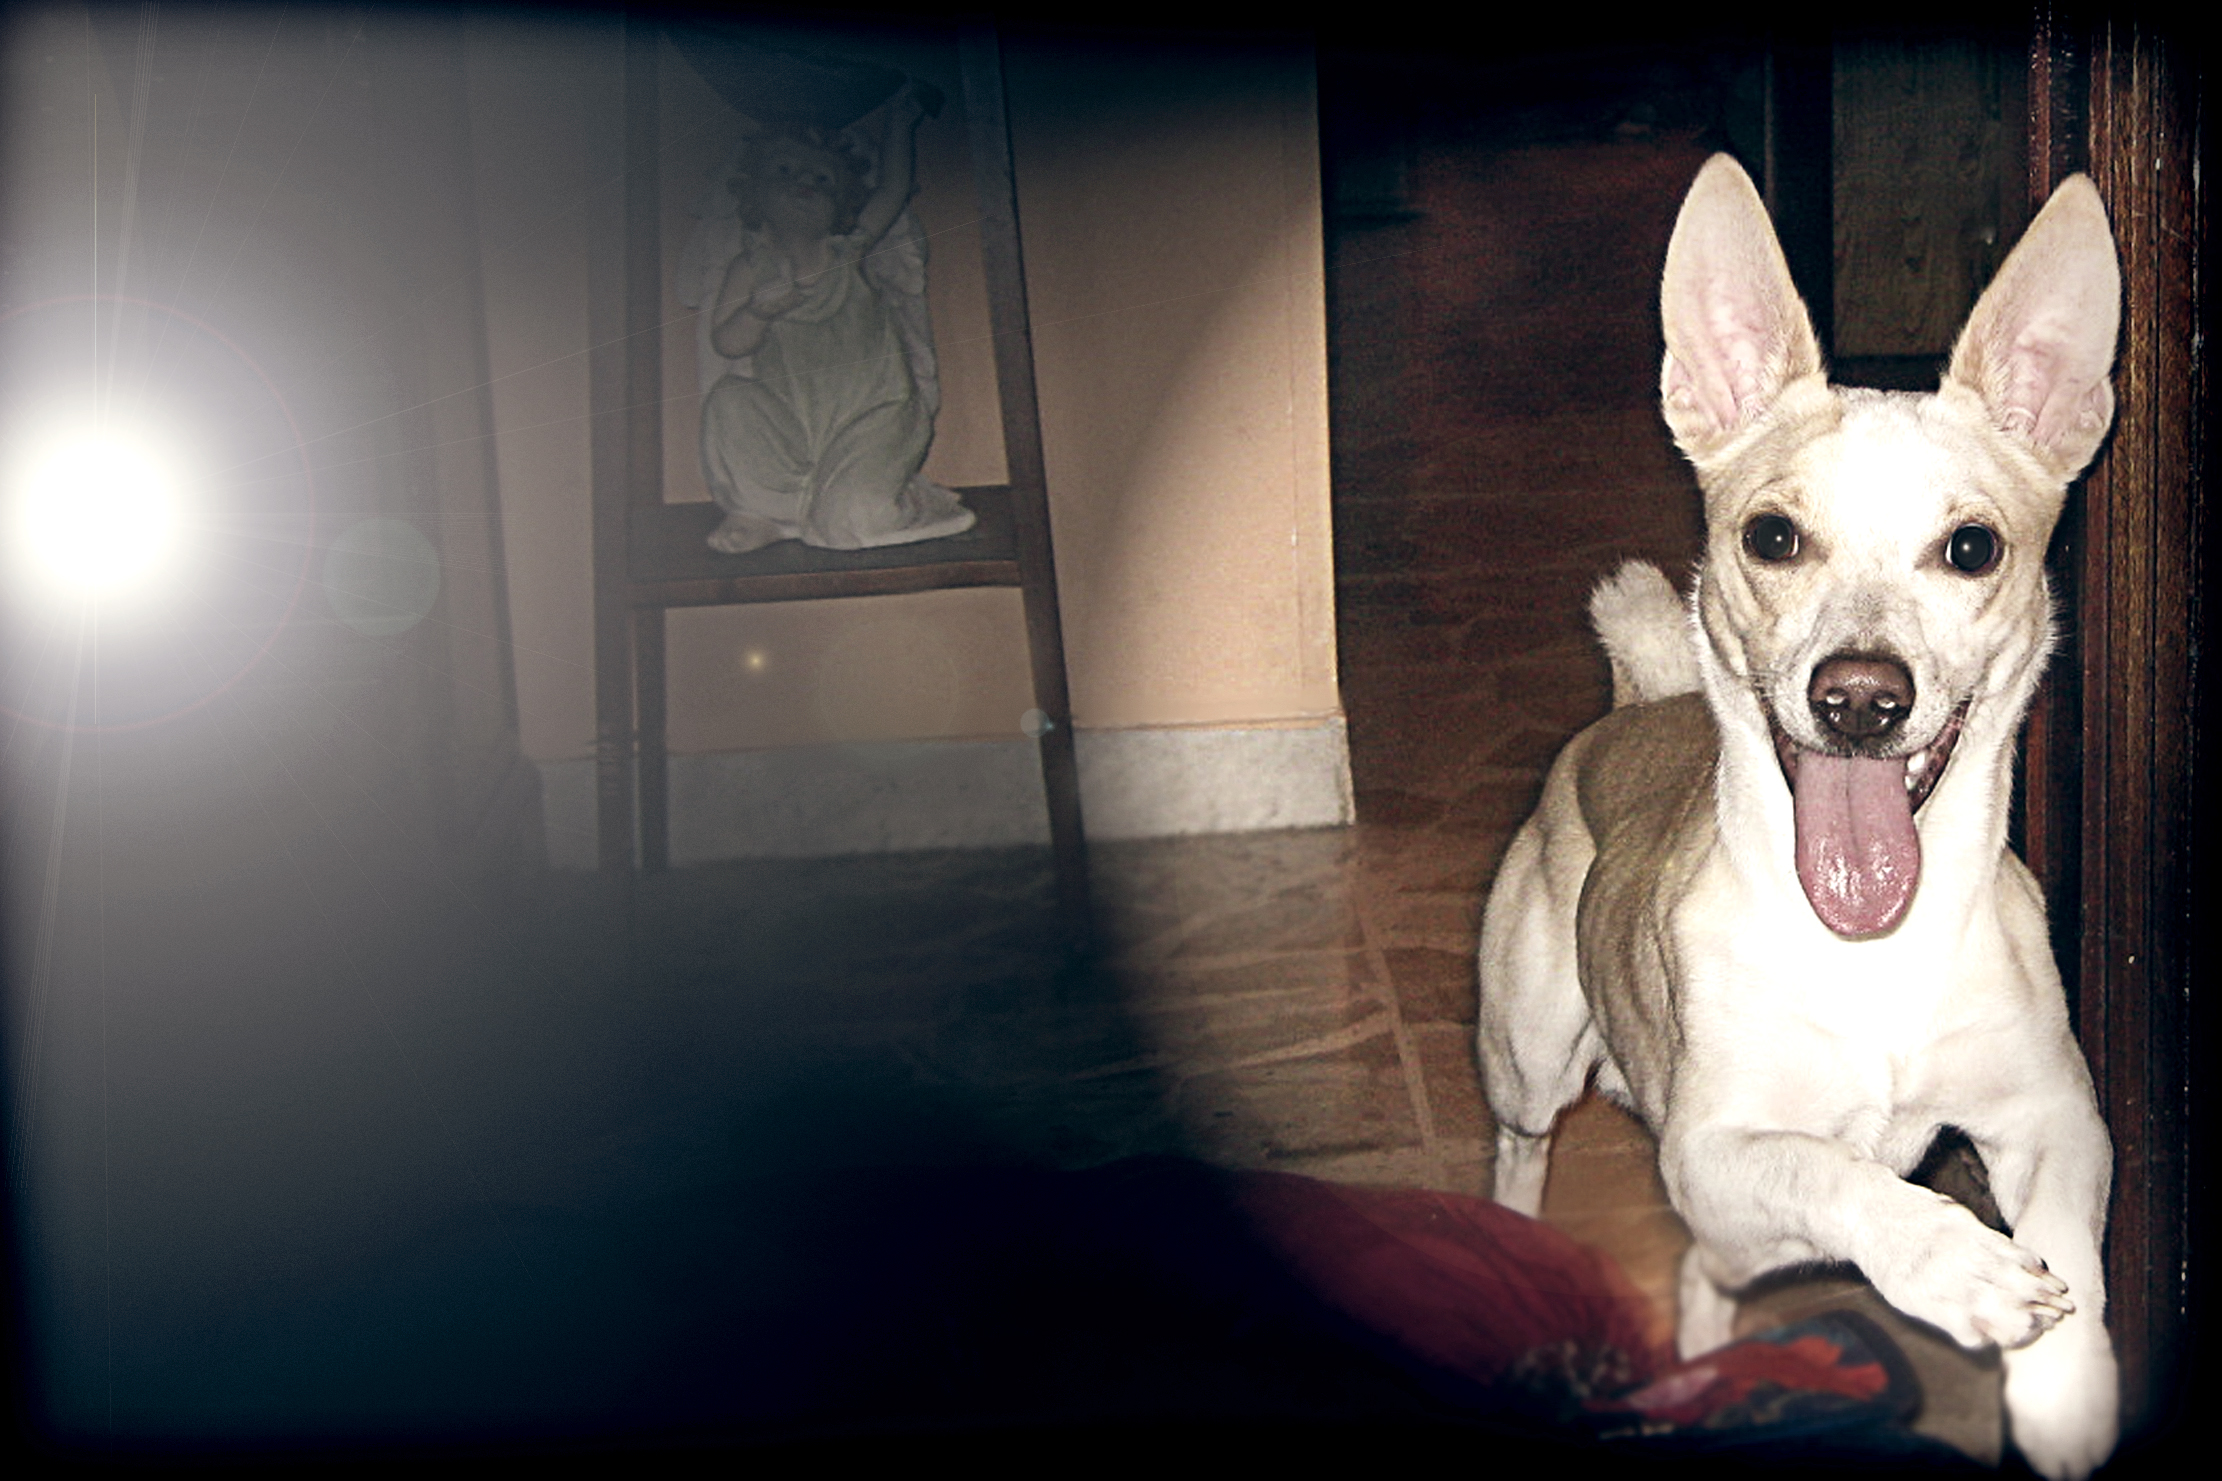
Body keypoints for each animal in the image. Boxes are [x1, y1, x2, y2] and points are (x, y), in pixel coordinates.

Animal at [1474, 155, 2120, 1480]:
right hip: (1527, 1057)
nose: (1860, 698)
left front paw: (2063, 1393)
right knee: (1518, 1152)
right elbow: (1841, 1179)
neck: (1870, 950)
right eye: (1770, 534)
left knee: (1702, 1283)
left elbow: (2073, 1263)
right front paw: (1957, 1266)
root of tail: (1634, 703)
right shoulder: (1713, 1156)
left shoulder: (2054, 1124)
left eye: (1970, 546)